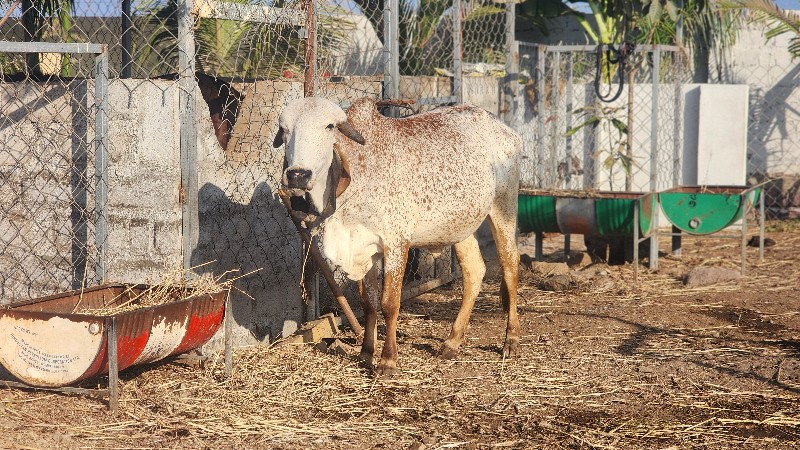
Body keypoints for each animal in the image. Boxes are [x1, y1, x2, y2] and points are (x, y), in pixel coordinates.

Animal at [276, 97, 524, 376]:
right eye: (284, 129)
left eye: (329, 126)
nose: (298, 175)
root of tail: (502, 127)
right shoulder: (364, 248)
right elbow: (368, 302)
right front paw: (366, 352)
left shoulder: (396, 243)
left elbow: (389, 303)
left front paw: (388, 360)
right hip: (461, 226)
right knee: (474, 271)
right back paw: (452, 342)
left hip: (503, 208)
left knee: (510, 265)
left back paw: (511, 340)